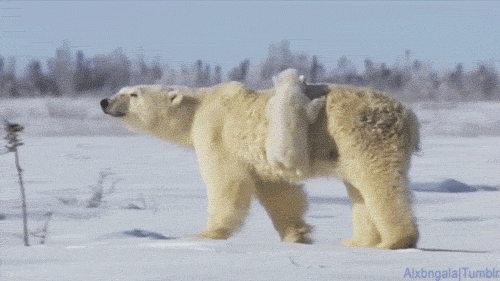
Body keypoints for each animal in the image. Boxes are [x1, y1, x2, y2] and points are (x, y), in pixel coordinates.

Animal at [99, 71, 420, 248]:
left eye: (133, 94)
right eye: (121, 89)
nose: (104, 102)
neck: (198, 107)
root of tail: (407, 114)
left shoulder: (216, 132)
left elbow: (227, 183)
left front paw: (204, 234)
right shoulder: (261, 160)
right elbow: (277, 191)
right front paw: (296, 234)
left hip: (362, 135)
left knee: (378, 183)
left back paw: (393, 241)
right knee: (359, 190)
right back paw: (357, 241)